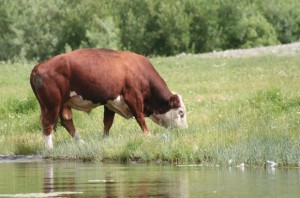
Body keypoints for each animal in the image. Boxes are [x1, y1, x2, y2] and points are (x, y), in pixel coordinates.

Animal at [29, 49, 186, 148]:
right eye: (181, 112)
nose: (185, 130)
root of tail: (39, 66)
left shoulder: (110, 103)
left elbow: (107, 122)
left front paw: (105, 138)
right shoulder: (133, 97)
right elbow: (140, 118)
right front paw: (148, 136)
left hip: (63, 103)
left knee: (67, 121)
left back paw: (81, 142)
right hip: (52, 105)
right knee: (48, 124)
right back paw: (50, 148)